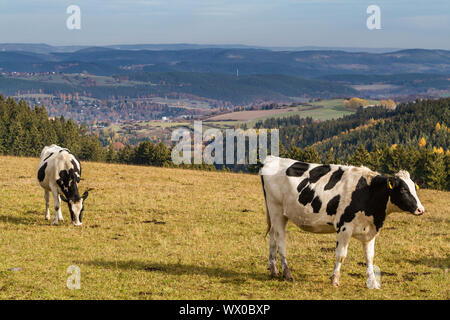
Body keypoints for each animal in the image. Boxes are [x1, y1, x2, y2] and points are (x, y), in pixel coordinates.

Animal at [260, 156, 426, 290]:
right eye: (403, 189)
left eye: (414, 188)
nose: (420, 209)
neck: (367, 192)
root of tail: (271, 159)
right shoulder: (344, 227)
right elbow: (341, 255)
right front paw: (334, 279)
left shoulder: (370, 230)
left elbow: (369, 257)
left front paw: (372, 282)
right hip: (276, 209)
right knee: (281, 241)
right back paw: (287, 273)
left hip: (277, 214)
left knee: (273, 238)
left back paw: (274, 270)